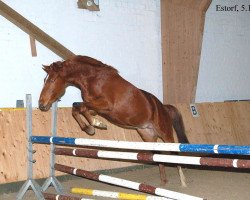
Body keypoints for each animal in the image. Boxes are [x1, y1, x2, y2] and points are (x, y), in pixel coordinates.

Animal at [38, 55, 188, 186]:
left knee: (174, 152)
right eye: (44, 80)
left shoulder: (106, 105)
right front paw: (91, 128)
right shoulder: (97, 109)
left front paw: (96, 124)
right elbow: (77, 108)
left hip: (165, 133)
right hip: (147, 136)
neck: (93, 79)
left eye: (51, 80)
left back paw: (183, 181)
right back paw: (163, 181)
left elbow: (80, 106)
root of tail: (163, 107)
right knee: (158, 155)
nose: (41, 105)